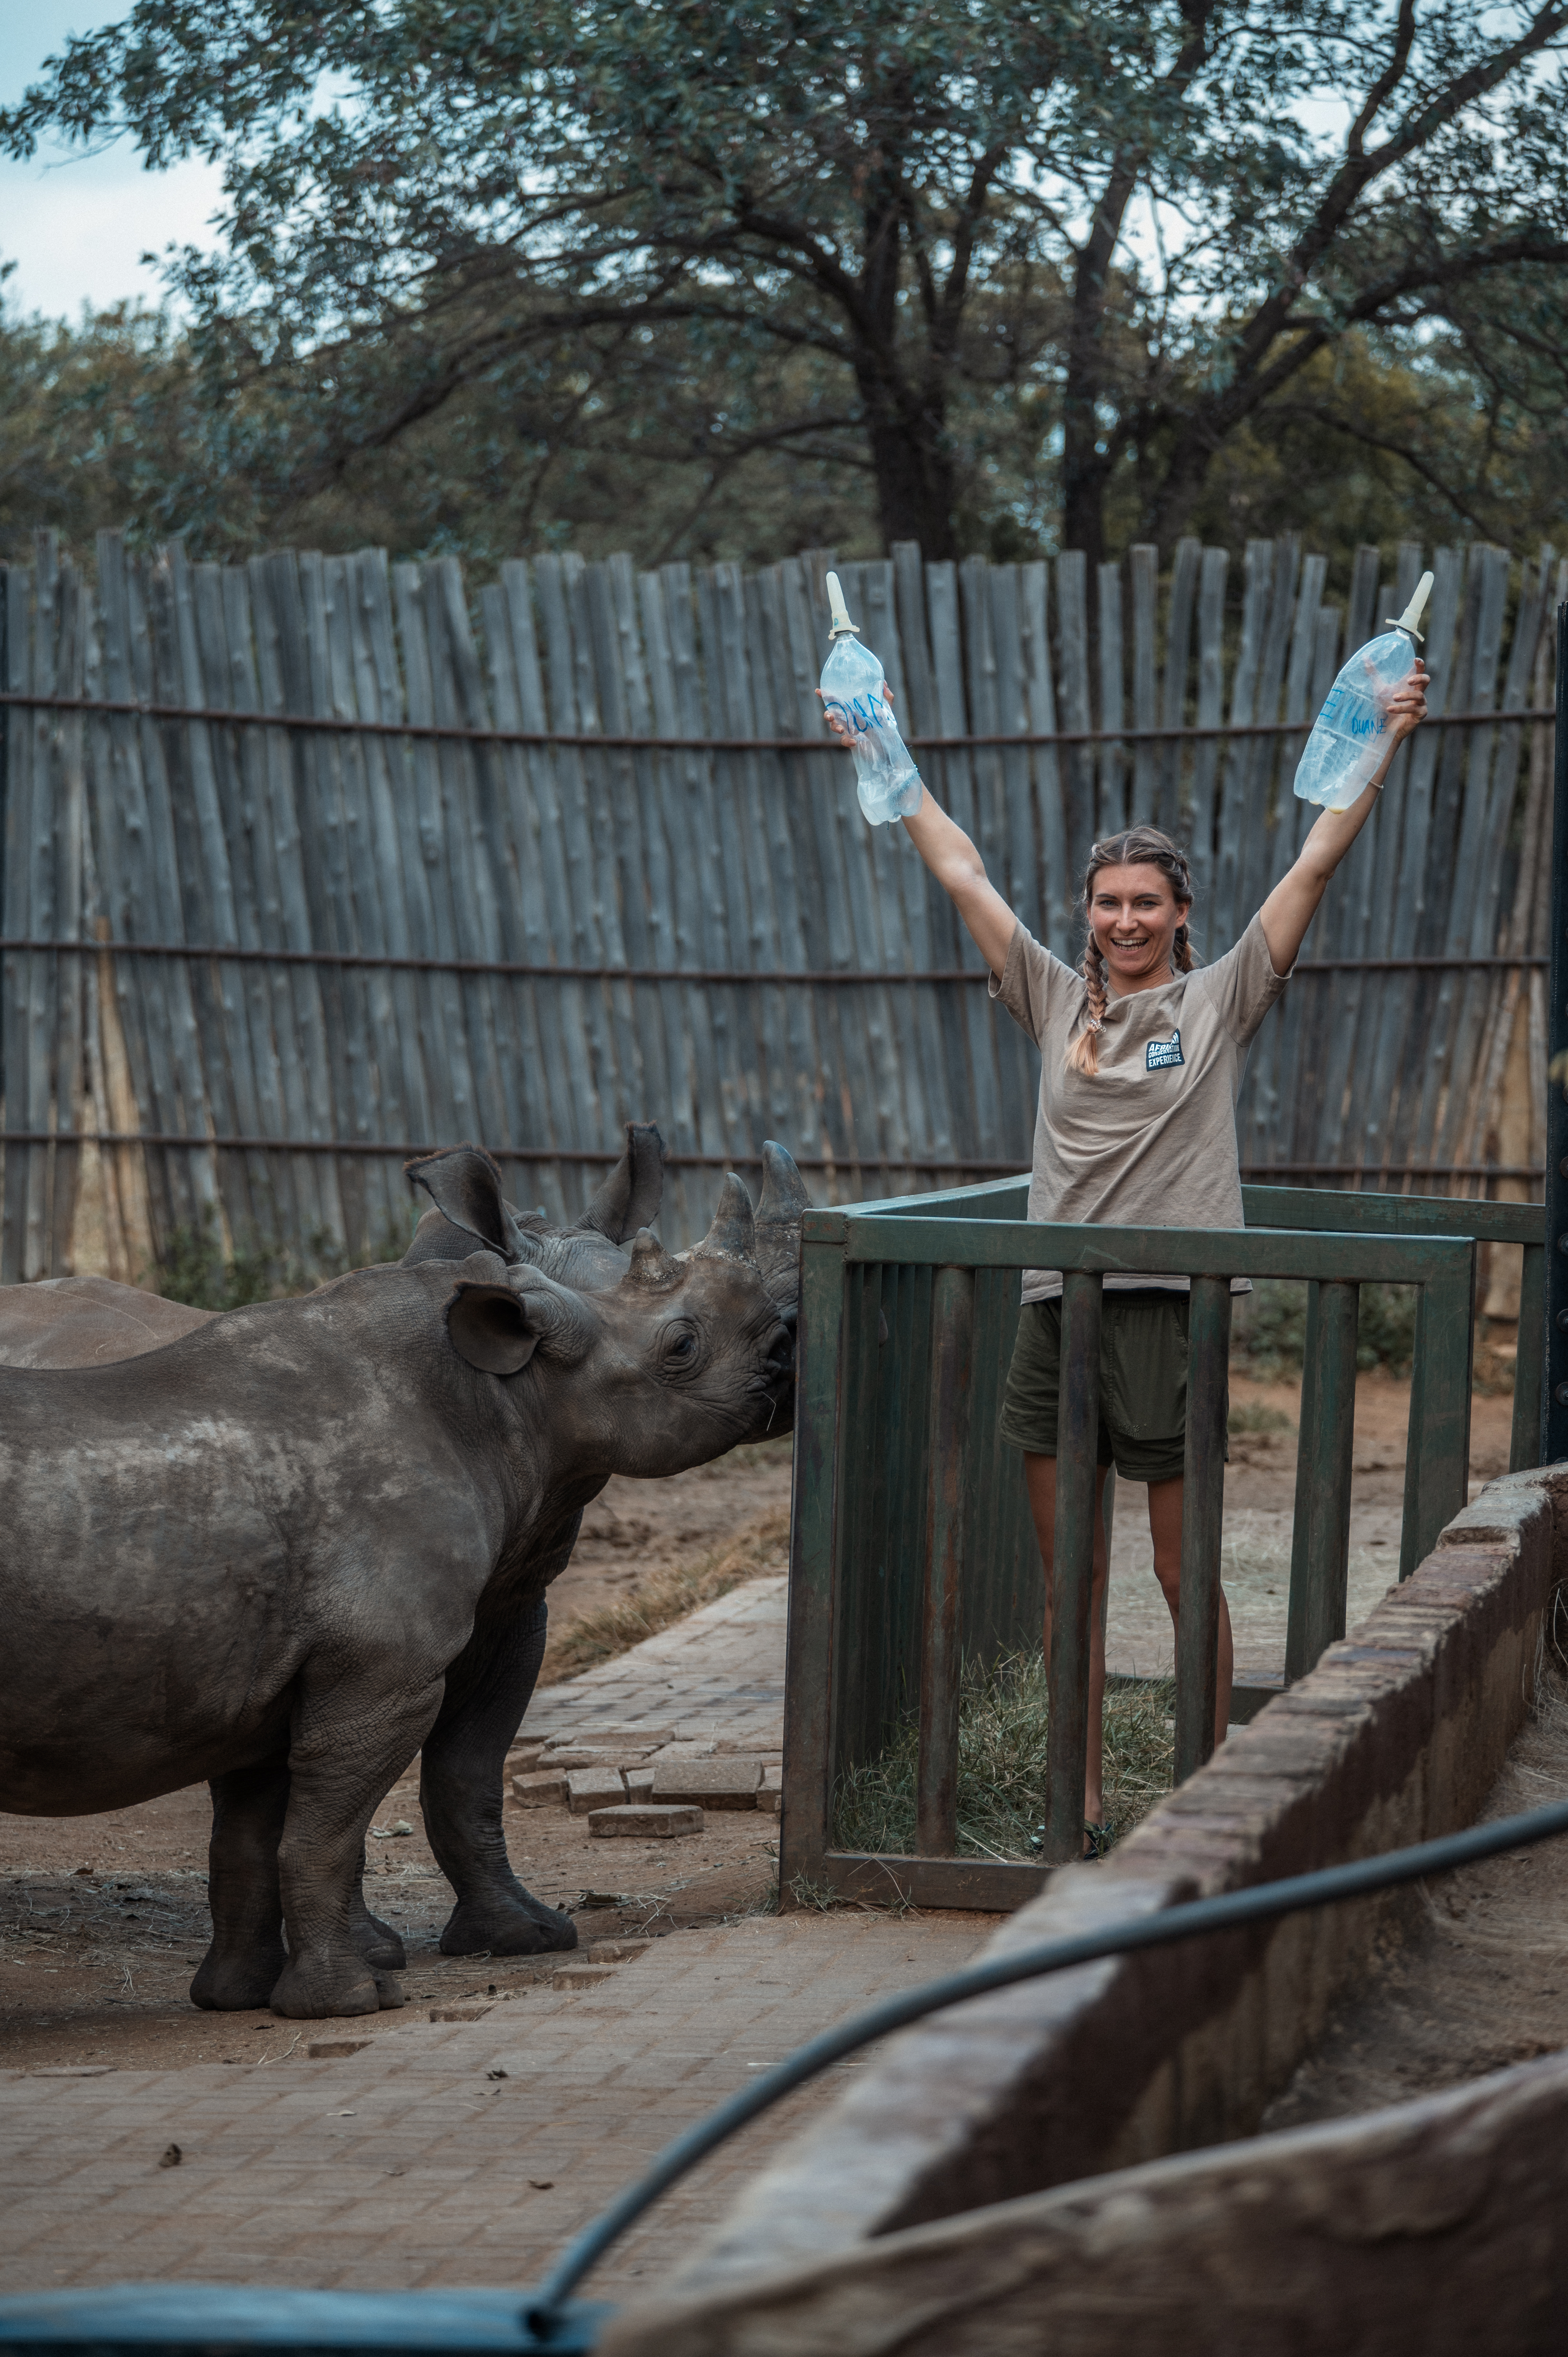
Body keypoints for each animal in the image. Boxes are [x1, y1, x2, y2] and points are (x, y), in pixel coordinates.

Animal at [0, 1152, 807, 2018]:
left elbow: (359, 1807)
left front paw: (242, 1996)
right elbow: (324, 1831)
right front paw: (351, 1996)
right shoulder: (379, 1669)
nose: (790, 1343)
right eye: (682, 1343)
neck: (503, 1387)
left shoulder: (306, 1662)